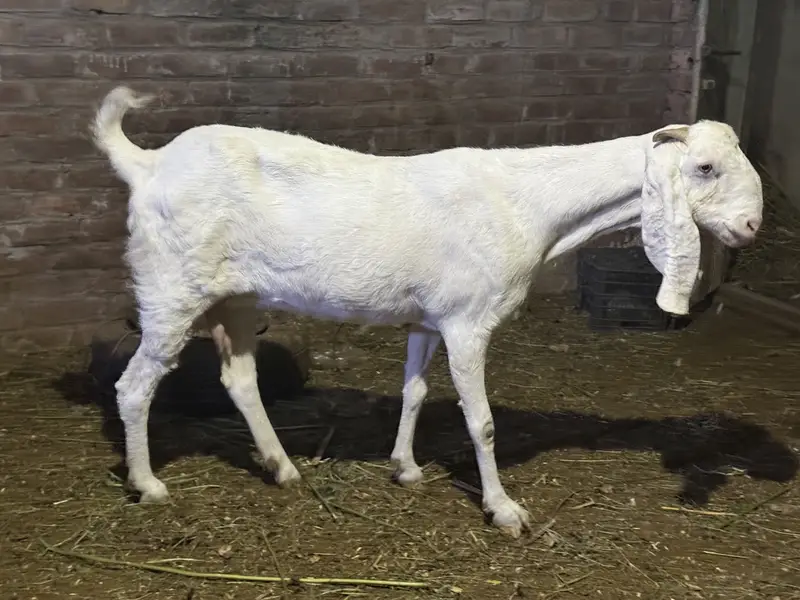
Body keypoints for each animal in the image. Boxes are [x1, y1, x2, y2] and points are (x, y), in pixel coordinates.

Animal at [93, 86, 763, 538]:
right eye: (705, 168)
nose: (752, 226)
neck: (530, 206)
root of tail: (146, 165)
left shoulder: (427, 317)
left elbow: (413, 391)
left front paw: (405, 468)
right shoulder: (469, 321)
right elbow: (482, 422)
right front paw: (504, 510)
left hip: (234, 298)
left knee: (238, 379)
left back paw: (282, 468)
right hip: (171, 290)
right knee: (134, 386)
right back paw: (148, 484)